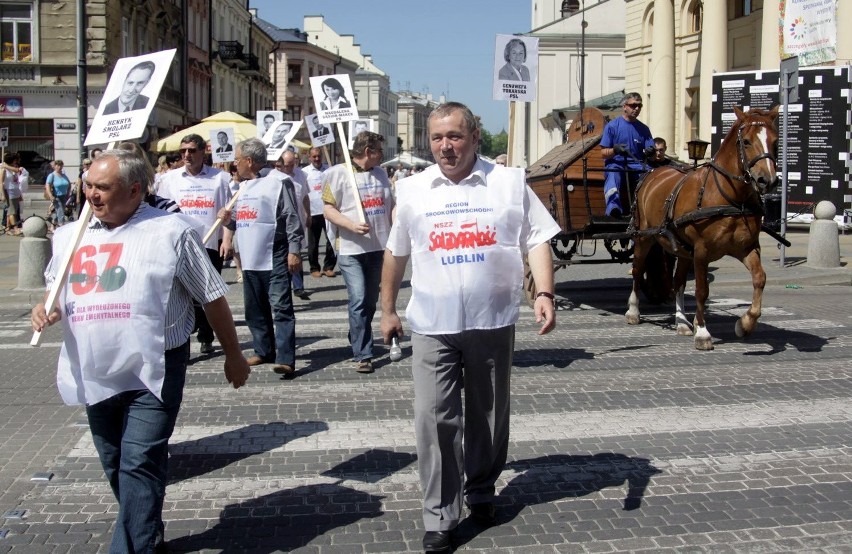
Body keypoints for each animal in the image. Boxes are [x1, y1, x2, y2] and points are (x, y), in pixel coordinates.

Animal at [624, 106, 780, 350]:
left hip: (681, 249)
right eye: (746, 141)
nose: (768, 180)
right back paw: (633, 311)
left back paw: (681, 321)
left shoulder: (747, 248)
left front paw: (745, 324)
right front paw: (703, 332)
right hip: (643, 238)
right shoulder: (702, 251)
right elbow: (701, 290)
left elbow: (759, 279)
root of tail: (652, 172)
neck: (731, 198)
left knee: (677, 282)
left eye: (775, 141)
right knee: (638, 271)